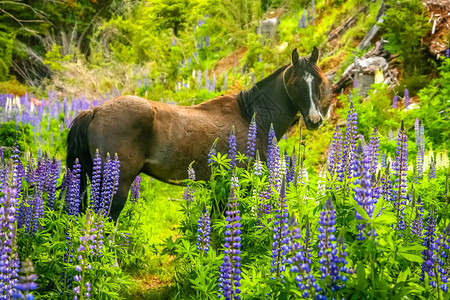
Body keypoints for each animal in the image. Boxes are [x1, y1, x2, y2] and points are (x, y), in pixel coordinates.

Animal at [66, 47, 326, 220]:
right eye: (296, 83)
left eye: (319, 81)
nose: (315, 120)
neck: (252, 115)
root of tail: (95, 111)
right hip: (117, 184)